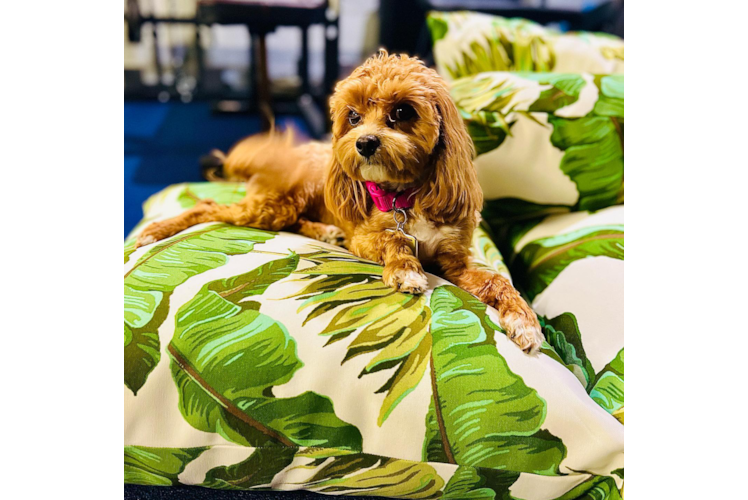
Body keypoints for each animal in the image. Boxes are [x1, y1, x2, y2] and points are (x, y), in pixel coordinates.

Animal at [134, 50, 544, 354]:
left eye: (402, 112)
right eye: (354, 116)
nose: (364, 143)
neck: (404, 196)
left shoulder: (453, 262)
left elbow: (498, 281)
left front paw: (524, 320)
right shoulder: (364, 238)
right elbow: (392, 239)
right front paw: (405, 269)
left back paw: (324, 231)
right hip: (274, 204)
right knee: (208, 206)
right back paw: (158, 229)